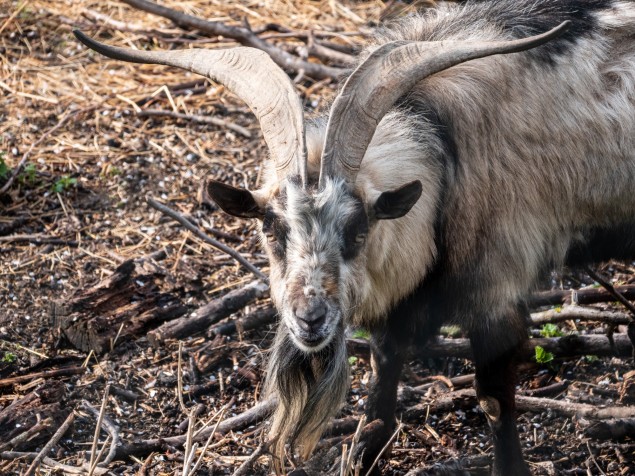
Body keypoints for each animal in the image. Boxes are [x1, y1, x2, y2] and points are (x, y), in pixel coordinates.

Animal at [74, 0, 635, 472]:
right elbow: (379, 408)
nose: (311, 318)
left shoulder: (496, 289)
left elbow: (495, 402)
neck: (448, 152)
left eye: (357, 226)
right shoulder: (399, 315)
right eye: (271, 226)